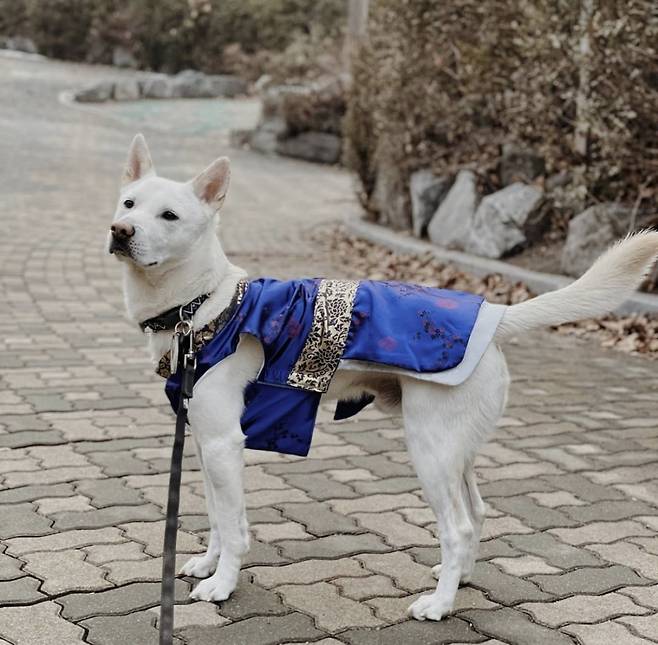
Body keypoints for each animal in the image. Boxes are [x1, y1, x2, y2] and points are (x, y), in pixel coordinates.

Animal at [109, 135, 656, 620]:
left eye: (169, 216)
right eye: (129, 203)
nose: (120, 230)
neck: (202, 305)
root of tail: (495, 313)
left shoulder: (224, 442)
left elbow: (235, 526)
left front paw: (222, 585)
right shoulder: (206, 443)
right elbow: (216, 516)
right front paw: (207, 564)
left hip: (429, 448)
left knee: (458, 526)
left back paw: (439, 604)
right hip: (456, 449)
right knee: (478, 512)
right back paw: (459, 579)